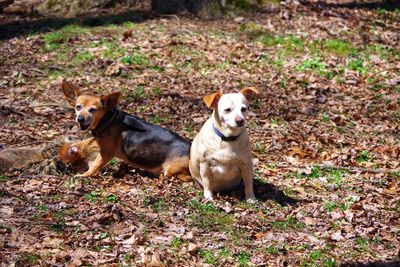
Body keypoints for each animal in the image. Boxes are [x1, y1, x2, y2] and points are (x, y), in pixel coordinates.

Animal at [61, 81, 192, 182]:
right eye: (78, 107)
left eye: (93, 110)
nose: (80, 119)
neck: (108, 120)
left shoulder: (106, 153)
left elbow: (94, 166)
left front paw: (83, 175)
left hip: (170, 171)